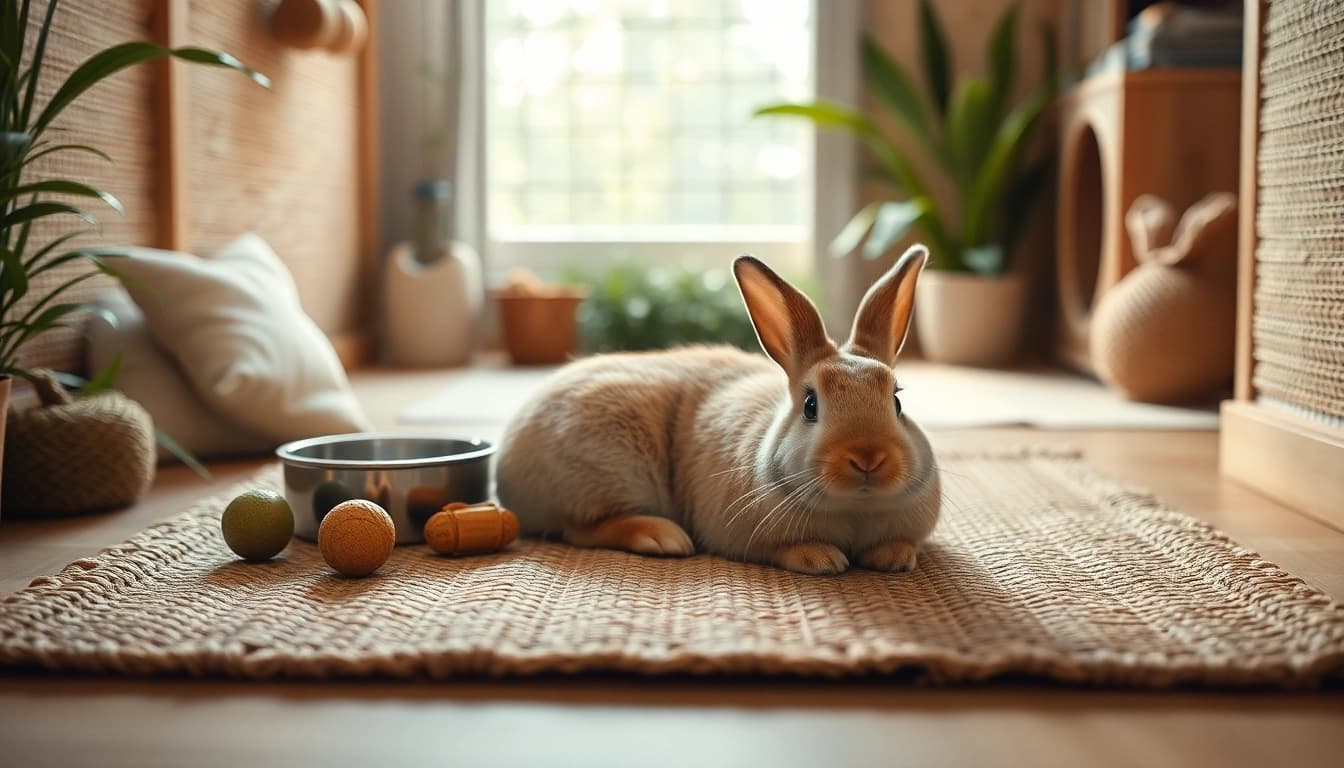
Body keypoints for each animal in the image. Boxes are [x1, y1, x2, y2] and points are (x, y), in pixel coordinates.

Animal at [494, 244, 940, 575]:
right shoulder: (747, 536)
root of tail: (509, 456)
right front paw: (822, 558)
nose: (868, 457)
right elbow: (785, 550)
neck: (854, 509)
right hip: (612, 476)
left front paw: (895, 557)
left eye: (897, 401)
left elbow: (901, 543)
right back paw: (663, 537)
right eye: (811, 405)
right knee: (579, 529)